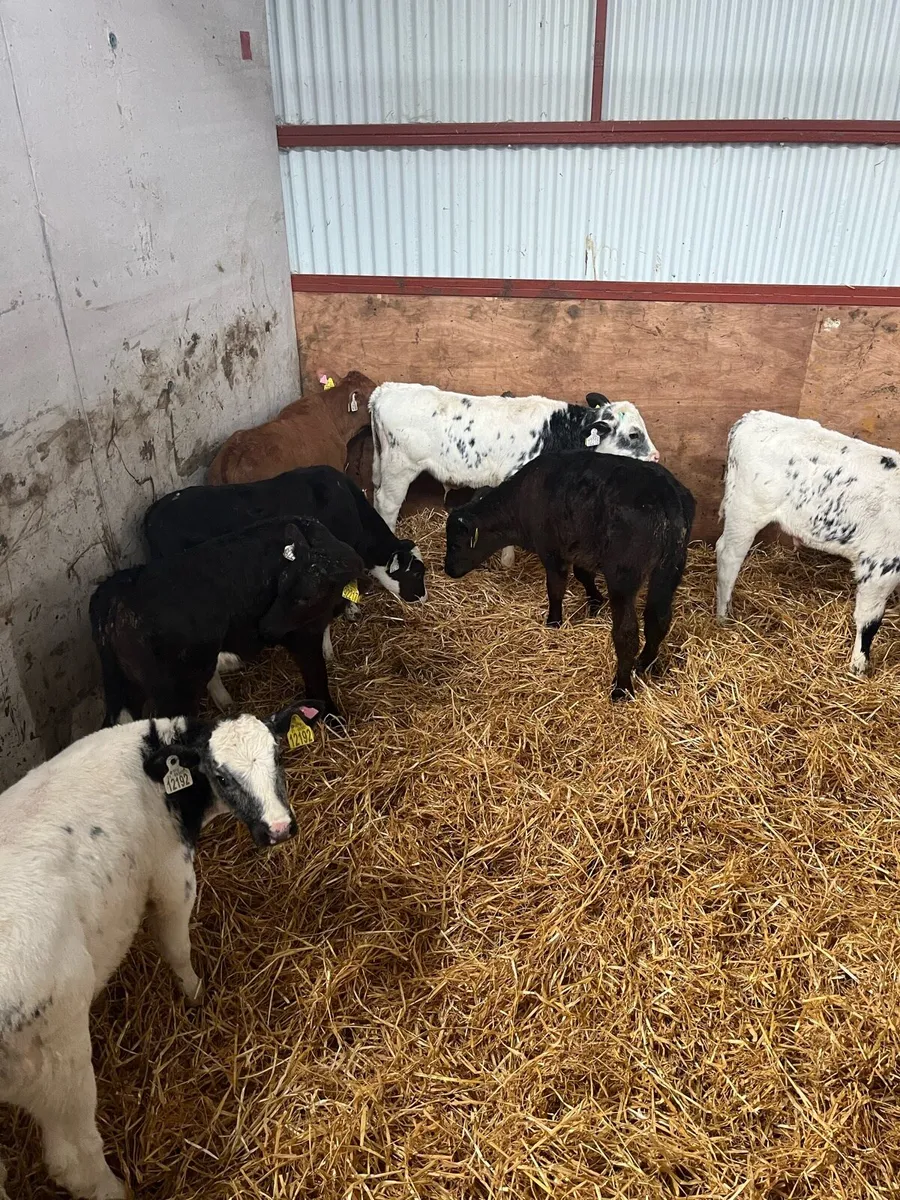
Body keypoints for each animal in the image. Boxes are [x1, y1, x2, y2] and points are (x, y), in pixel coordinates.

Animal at [0, 704, 316, 1200]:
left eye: (279, 756)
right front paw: (196, 994)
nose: (279, 829)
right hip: (57, 1061)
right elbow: (175, 945)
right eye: (220, 776)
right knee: (76, 1161)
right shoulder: (170, 873)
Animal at [91, 516, 363, 724]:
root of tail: (118, 592)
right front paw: (333, 718)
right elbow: (317, 677)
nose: (265, 627)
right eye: (281, 584)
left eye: (306, 597)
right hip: (175, 694)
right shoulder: (303, 637)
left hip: (129, 689)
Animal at [369, 383, 659, 567]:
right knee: (387, 504)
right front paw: (509, 561)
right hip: (400, 467)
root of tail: (386, 390)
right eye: (634, 434)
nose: (656, 457)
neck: (559, 431)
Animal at [444, 451, 695, 701]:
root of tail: (666, 495)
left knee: (627, 633)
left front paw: (554, 622)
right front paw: (595, 602)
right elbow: (583, 574)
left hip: (623, 575)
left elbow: (555, 589)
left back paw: (621, 688)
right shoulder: (581, 548)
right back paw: (645, 663)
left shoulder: (552, 551)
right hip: (670, 568)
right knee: (658, 618)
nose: (448, 569)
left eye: (456, 544)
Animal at [717, 410, 900, 674]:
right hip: (745, 510)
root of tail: (751, 418)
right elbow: (869, 620)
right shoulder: (880, 566)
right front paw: (858, 668)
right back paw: (722, 616)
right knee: (728, 557)